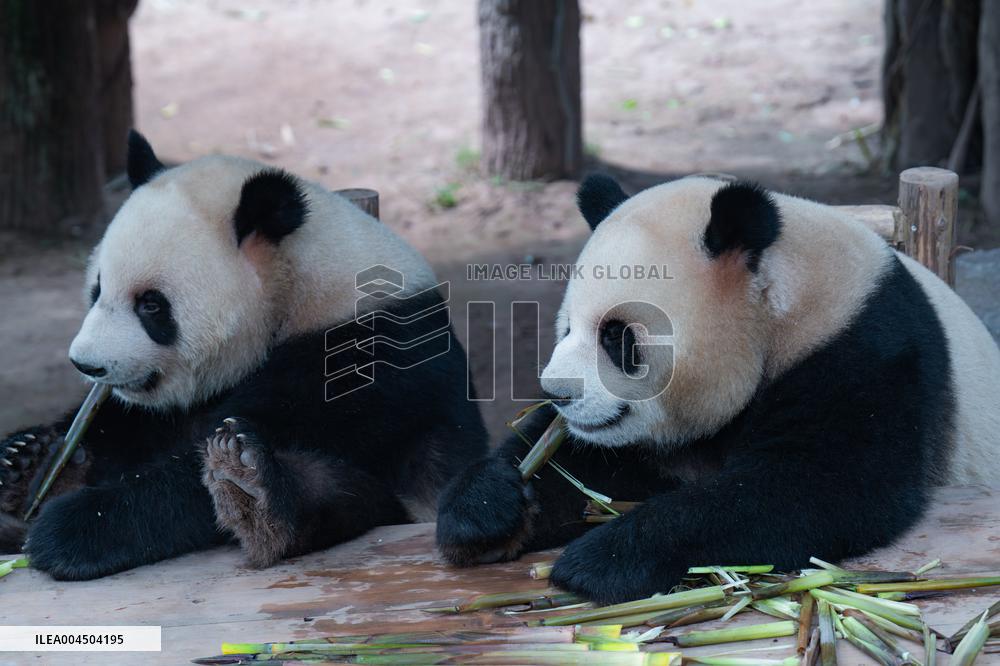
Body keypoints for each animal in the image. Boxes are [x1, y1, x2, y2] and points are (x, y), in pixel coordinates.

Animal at [0, 131, 487, 580]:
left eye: (151, 305)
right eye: (97, 289)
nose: (87, 364)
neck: (299, 286)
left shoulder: (367, 357)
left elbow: (205, 466)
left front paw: (71, 528)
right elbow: (130, 425)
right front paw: (26, 460)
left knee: (340, 490)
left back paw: (256, 499)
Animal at [436, 173, 1000, 604]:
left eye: (617, 336)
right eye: (567, 327)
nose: (558, 393)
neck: (785, 307)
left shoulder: (868, 352)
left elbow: (817, 486)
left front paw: (602, 559)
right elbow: (581, 466)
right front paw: (484, 508)